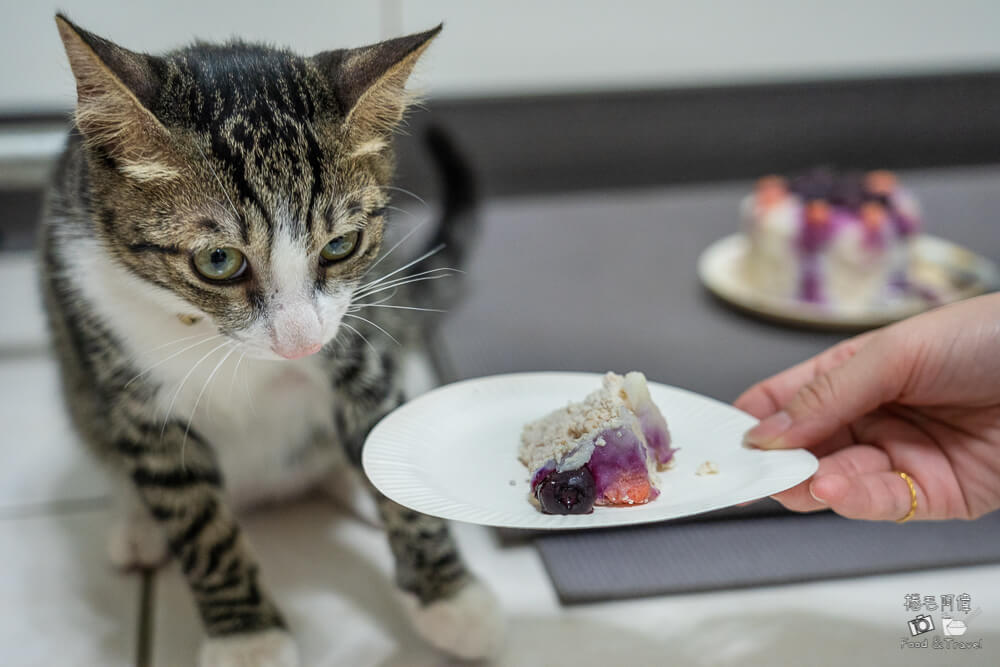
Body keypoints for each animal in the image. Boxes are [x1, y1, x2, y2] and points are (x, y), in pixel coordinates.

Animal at [43, 13, 504, 664]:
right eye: (218, 260)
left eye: (340, 246)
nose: (299, 342)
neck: (214, 335)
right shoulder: (118, 363)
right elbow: (195, 517)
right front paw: (248, 638)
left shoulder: (356, 336)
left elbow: (373, 408)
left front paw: (449, 595)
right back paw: (139, 527)